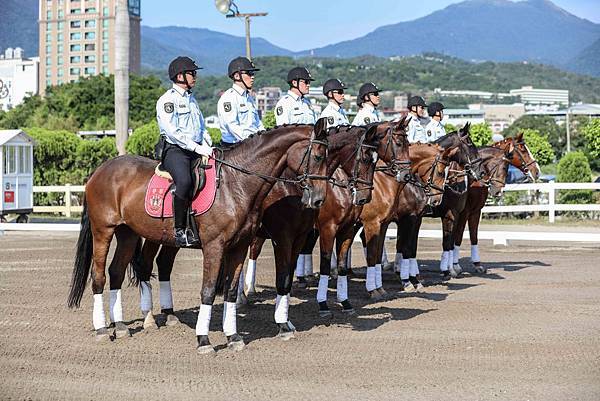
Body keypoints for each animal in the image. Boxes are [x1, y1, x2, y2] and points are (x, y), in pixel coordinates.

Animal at [67, 120, 330, 352]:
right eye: (318, 156)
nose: (318, 199)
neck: (236, 183)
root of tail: (100, 170)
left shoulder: (240, 246)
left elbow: (231, 291)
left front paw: (233, 337)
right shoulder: (216, 246)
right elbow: (209, 291)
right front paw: (204, 340)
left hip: (128, 234)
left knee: (117, 272)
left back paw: (121, 326)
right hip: (103, 231)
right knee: (99, 276)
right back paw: (103, 329)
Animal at [452, 133, 540, 274]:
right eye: (522, 149)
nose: (537, 171)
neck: (473, 179)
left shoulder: (475, 211)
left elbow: (474, 236)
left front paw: (477, 264)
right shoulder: (463, 212)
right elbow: (458, 236)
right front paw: (455, 265)